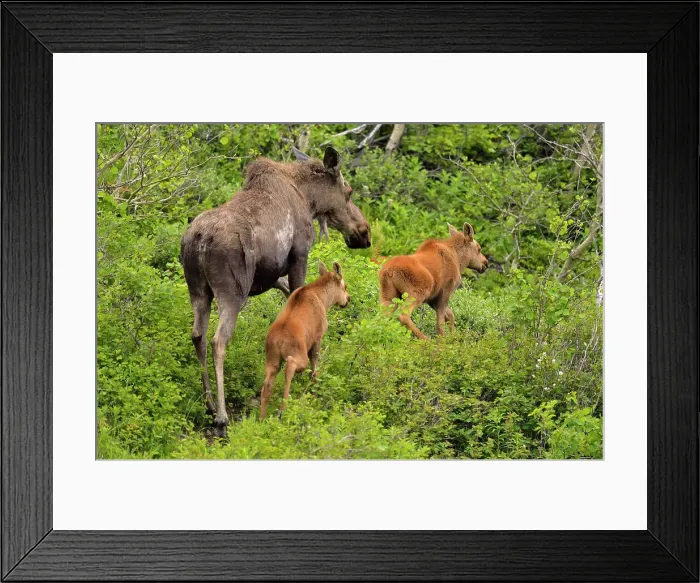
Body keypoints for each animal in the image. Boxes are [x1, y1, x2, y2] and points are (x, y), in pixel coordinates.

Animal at [259, 261, 350, 420]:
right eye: (345, 286)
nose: (348, 299)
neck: (324, 300)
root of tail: (279, 340)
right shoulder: (318, 338)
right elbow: (314, 370)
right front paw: (315, 393)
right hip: (298, 356)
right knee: (290, 367)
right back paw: (283, 408)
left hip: (272, 359)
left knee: (266, 386)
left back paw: (261, 418)